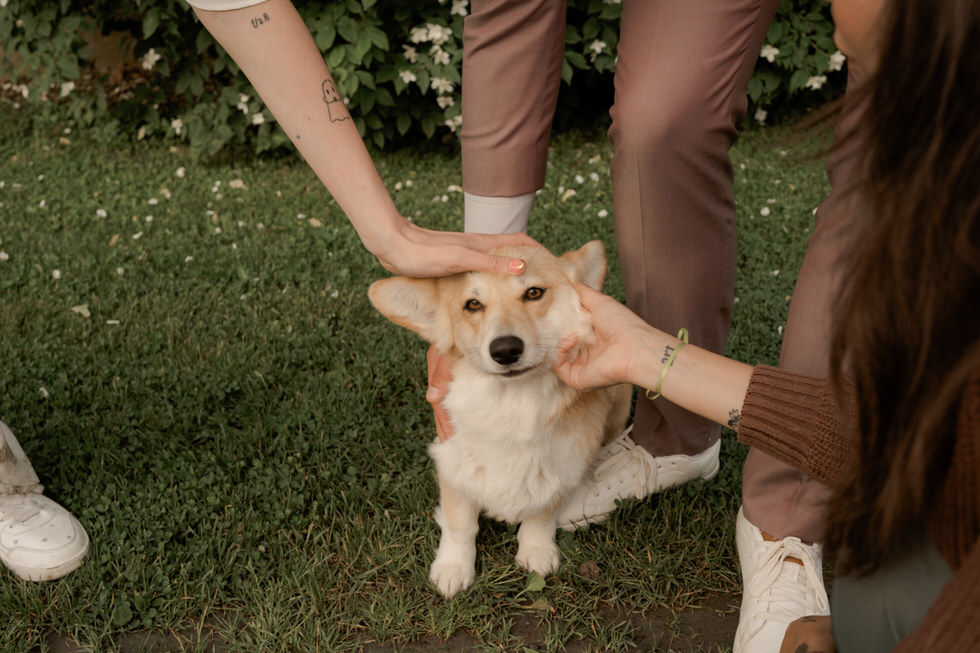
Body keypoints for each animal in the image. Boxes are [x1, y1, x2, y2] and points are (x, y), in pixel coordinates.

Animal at [366, 239, 628, 596]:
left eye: (534, 292)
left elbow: (541, 516)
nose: (505, 350)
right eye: (473, 304)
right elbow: (460, 525)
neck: (511, 405)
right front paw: (453, 568)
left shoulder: (559, 469)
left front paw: (536, 551)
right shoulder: (453, 465)